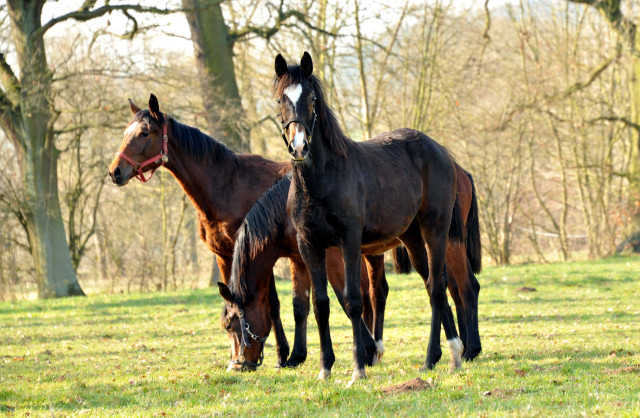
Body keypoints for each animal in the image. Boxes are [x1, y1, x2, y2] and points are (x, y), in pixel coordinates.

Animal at [108, 95, 388, 370]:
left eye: (144, 133)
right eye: (126, 132)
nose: (115, 171)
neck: (227, 185)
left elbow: (277, 303)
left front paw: (284, 355)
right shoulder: (227, 256)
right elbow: (287, 303)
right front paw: (290, 355)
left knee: (373, 294)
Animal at [272, 53, 462, 386]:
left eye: (311, 99)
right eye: (281, 99)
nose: (299, 147)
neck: (321, 180)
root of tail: (440, 151)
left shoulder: (348, 242)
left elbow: (353, 301)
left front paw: (358, 368)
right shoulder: (310, 246)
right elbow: (321, 305)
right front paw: (325, 368)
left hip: (434, 230)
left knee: (438, 288)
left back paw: (435, 358)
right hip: (412, 238)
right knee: (431, 284)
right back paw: (448, 354)